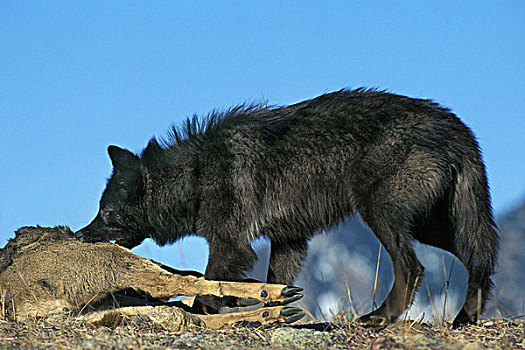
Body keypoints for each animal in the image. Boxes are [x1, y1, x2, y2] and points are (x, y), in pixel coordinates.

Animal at [75, 88, 498, 328]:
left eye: (107, 214)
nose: (78, 235)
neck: (195, 174)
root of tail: (455, 126)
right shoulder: (289, 241)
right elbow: (272, 284)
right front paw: (271, 311)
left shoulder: (230, 244)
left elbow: (211, 281)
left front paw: (201, 311)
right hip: (434, 227)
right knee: (479, 261)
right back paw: (464, 320)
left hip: (382, 214)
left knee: (412, 268)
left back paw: (380, 318)